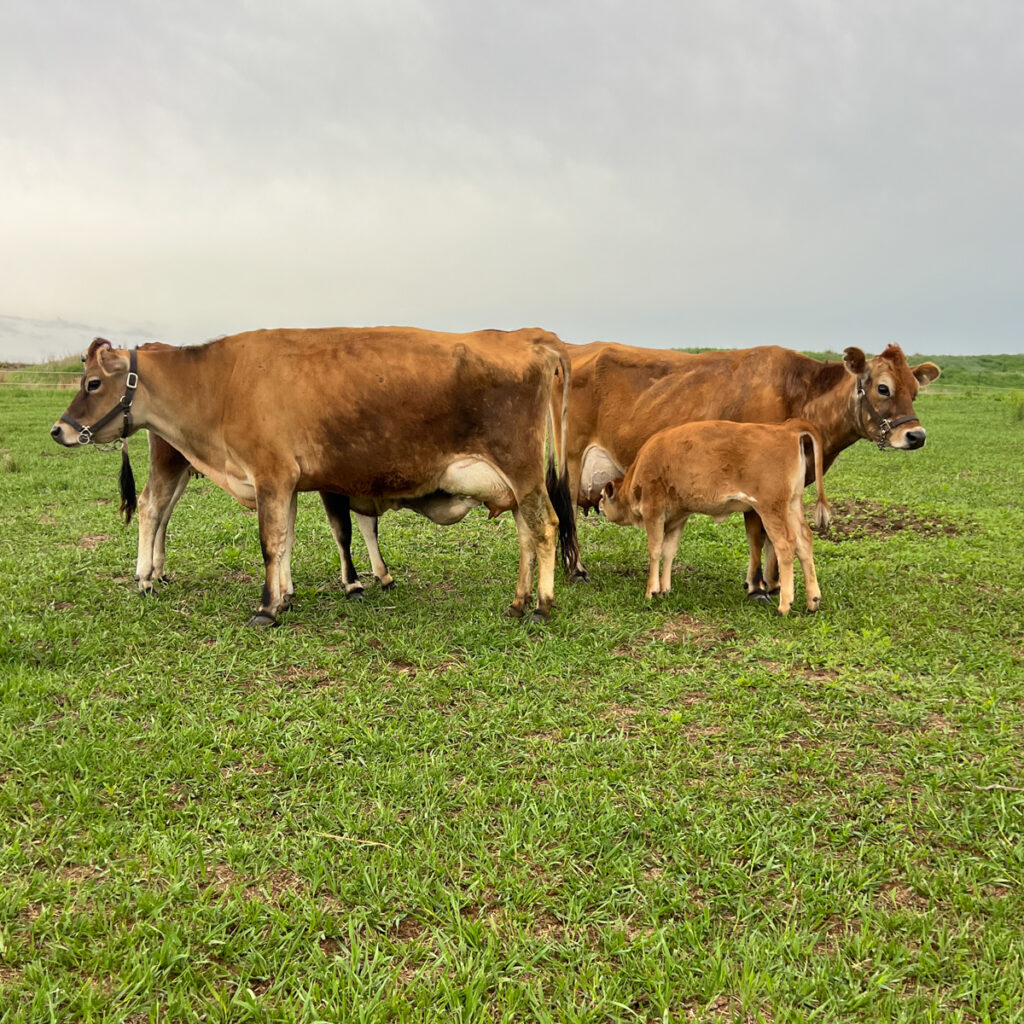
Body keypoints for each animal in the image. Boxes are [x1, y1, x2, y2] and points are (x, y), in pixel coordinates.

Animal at [51, 327, 579, 625]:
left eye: (92, 383)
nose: (59, 429)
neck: (221, 381)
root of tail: (533, 341)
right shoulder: (285, 481)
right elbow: (286, 539)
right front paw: (285, 597)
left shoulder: (271, 474)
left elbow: (272, 541)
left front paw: (267, 608)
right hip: (513, 481)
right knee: (527, 533)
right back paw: (518, 602)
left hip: (521, 470)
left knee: (545, 527)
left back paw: (541, 606)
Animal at [554, 342, 940, 588]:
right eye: (883, 388)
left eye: (914, 391)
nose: (916, 435)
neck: (800, 395)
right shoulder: (756, 487)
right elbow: (759, 534)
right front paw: (758, 586)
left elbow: (774, 537)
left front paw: (773, 582)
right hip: (569, 461)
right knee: (566, 514)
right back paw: (577, 570)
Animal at [599, 419, 832, 615]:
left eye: (602, 495)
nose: (599, 507)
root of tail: (786, 428)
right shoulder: (678, 517)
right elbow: (669, 552)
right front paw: (665, 589)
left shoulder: (653, 511)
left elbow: (655, 550)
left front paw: (651, 591)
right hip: (792, 504)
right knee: (804, 540)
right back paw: (813, 601)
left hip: (771, 509)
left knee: (785, 544)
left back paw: (784, 606)